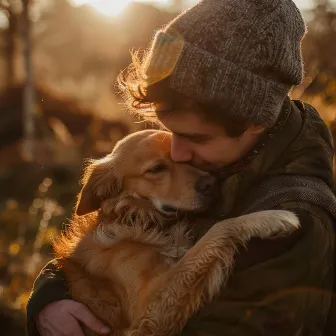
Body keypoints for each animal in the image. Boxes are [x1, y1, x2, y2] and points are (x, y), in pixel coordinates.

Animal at [53, 130, 300, 334]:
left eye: (186, 159)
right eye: (156, 169)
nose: (210, 184)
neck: (139, 221)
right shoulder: (145, 310)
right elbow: (217, 230)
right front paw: (270, 218)